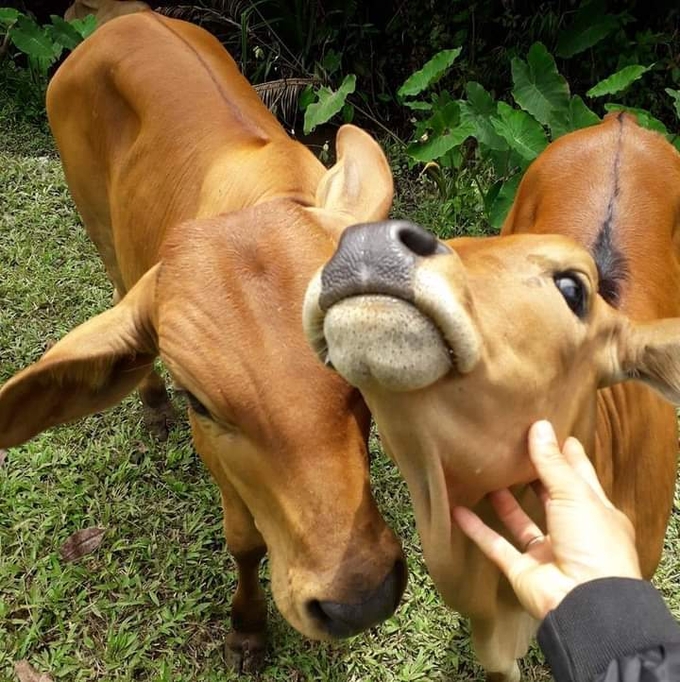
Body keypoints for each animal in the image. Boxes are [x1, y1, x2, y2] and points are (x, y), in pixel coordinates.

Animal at [0, 10, 404, 668]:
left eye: (357, 368)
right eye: (201, 402)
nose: (360, 601)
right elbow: (244, 542)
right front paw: (247, 629)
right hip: (100, 228)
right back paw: (151, 406)